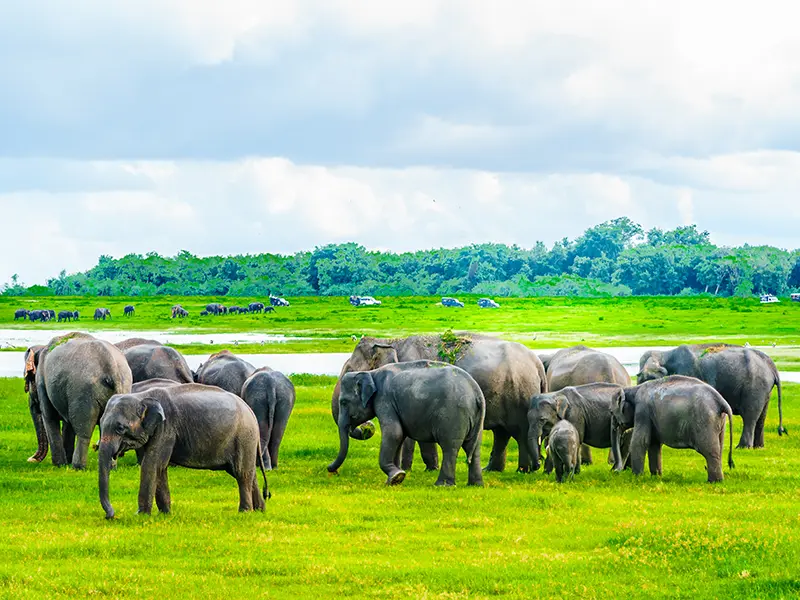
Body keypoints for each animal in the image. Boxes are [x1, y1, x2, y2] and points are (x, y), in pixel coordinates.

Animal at [33, 332, 132, 469]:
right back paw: (110, 467)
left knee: (83, 429)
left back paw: (78, 467)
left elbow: (49, 416)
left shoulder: (42, 381)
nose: (31, 459)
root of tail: (111, 365)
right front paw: (64, 463)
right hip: (124, 387)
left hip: (84, 391)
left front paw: (59, 465)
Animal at [97, 384, 269, 519]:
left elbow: (152, 464)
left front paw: (141, 516)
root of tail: (251, 412)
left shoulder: (166, 429)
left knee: (242, 473)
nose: (110, 516)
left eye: (120, 428)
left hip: (244, 437)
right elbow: (160, 468)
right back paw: (259, 510)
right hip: (245, 440)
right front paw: (165, 514)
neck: (142, 396)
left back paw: (244, 512)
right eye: (100, 423)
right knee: (248, 472)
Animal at [328, 360, 485, 487]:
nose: (332, 470)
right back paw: (475, 485)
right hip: (476, 419)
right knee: (474, 448)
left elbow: (394, 433)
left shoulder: (384, 399)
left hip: (453, 415)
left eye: (343, 402)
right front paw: (394, 478)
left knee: (450, 448)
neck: (371, 373)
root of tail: (476, 392)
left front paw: (397, 477)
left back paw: (442, 485)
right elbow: (400, 436)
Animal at [332, 334, 546, 473]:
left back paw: (524, 470)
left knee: (519, 432)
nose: (366, 427)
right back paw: (492, 470)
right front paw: (427, 468)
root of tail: (537, 364)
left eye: (349, 370)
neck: (391, 342)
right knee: (502, 433)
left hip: (520, 394)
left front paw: (417, 469)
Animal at [638, 344, 784, 448]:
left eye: (650, 379)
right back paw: (758, 447)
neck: (664, 354)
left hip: (755, 386)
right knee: (761, 416)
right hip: (765, 389)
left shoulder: (688, 373)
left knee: (750, 415)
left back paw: (742, 447)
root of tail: (771, 366)